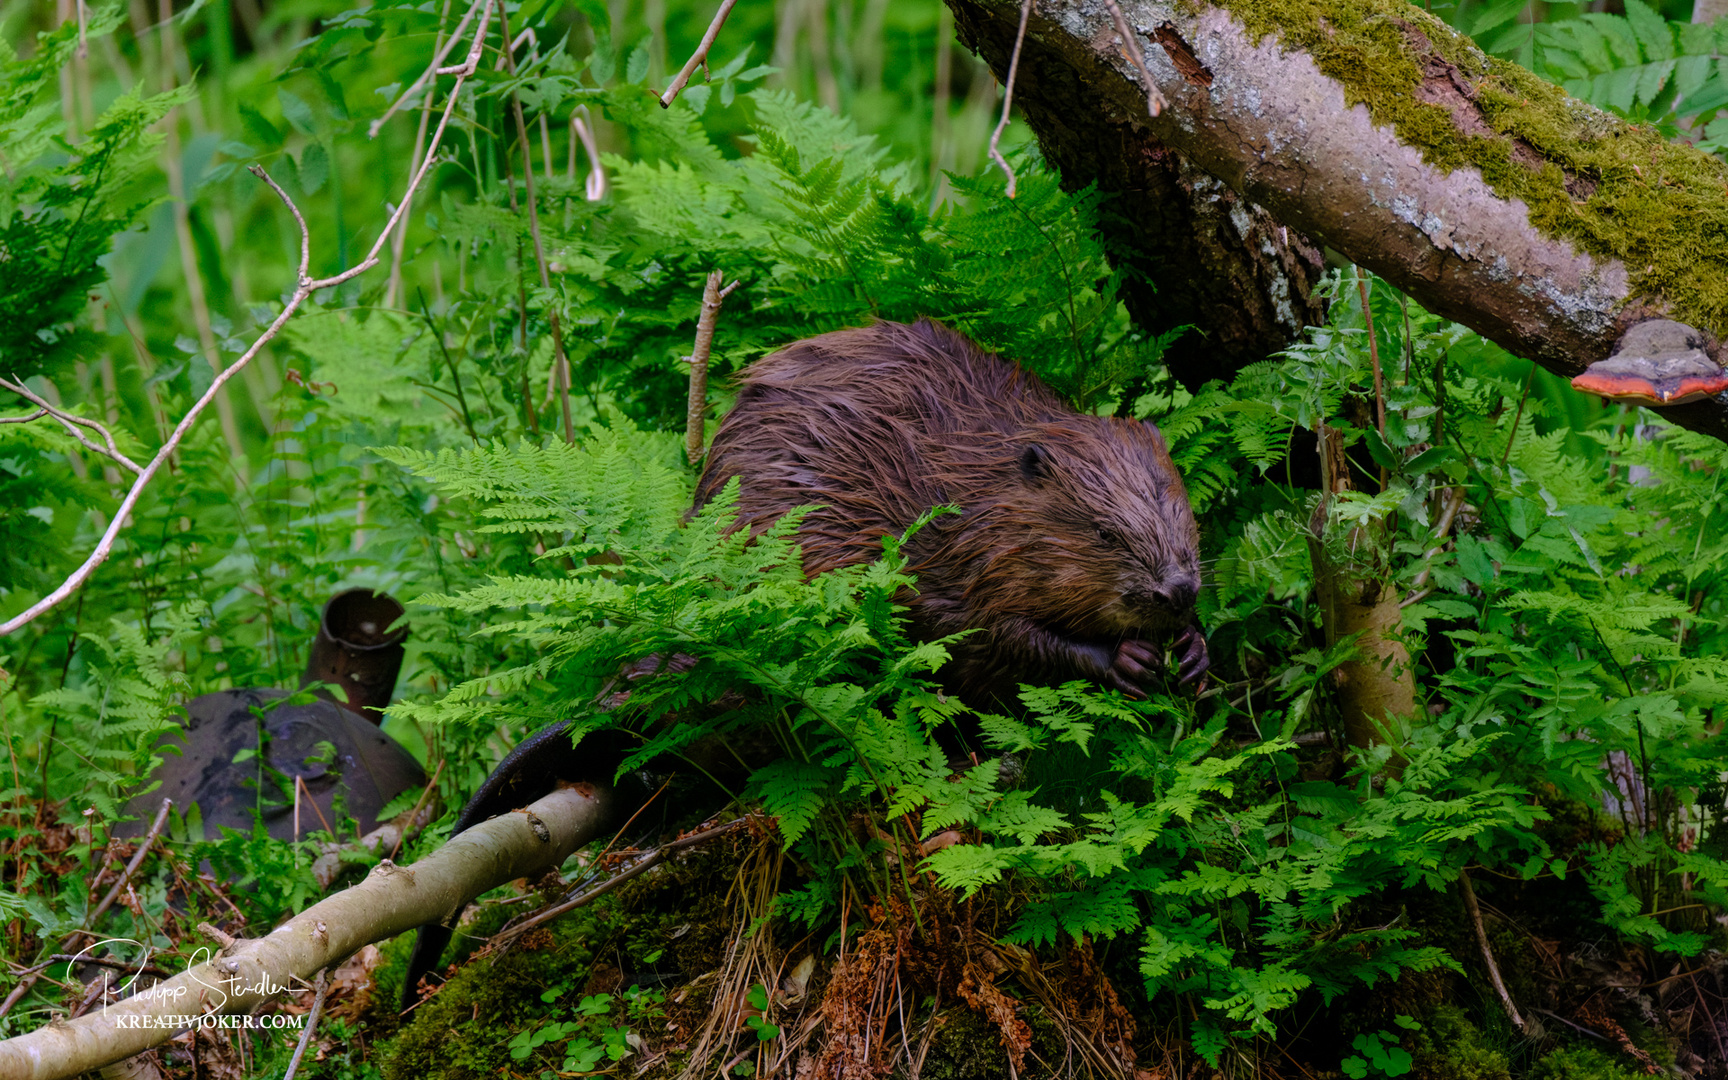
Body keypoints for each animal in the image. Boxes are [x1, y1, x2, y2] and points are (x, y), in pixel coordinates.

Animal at [399, 316, 1209, 1009]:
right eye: (1105, 533)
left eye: (1181, 512)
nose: (1176, 588)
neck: (974, 480)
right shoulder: (953, 559)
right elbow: (995, 634)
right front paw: (1129, 657)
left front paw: (1195, 651)